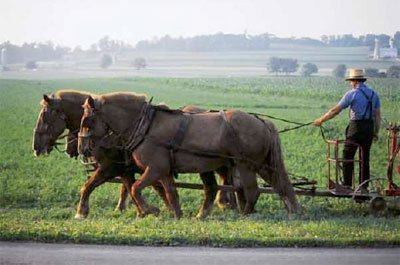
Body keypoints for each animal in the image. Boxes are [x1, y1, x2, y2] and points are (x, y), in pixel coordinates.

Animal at [79, 94, 300, 218]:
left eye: (88, 119)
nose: (82, 147)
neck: (146, 126)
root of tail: (262, 121)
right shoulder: (163, 171)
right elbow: (170, 193)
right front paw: (176, 215)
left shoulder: (154, 169)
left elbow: (134, 188)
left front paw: (151, 211)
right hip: (260, 165)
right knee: (280, 186)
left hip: (246, 165)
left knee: (252, 191)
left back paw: (244, 215)